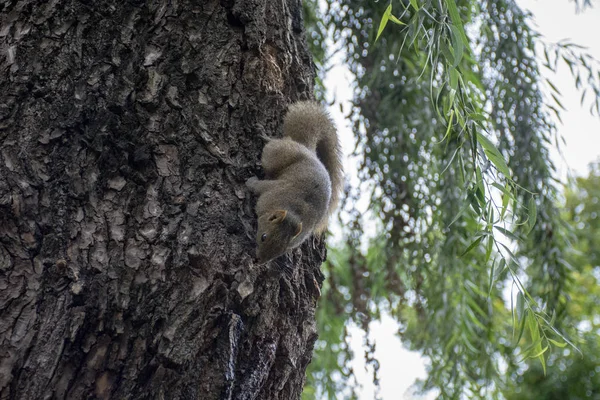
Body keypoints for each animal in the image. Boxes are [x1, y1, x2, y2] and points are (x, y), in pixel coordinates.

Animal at [247, 101, 342, 262]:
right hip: (277, 154)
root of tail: (310, 151)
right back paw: (264, 136)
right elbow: (258, 186)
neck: (294, 213)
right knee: (278, 143)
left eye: (280, 251)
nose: (258, 260)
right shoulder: (272, 189)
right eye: (263, 237)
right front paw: (250, 182)